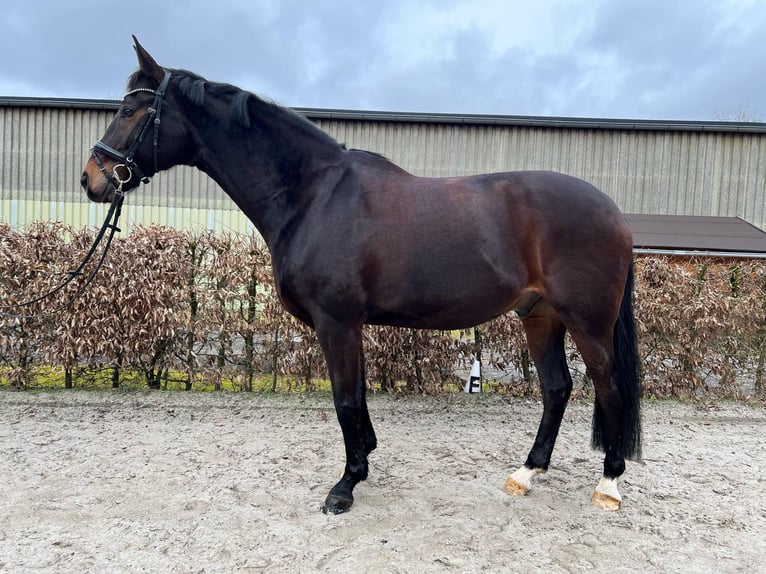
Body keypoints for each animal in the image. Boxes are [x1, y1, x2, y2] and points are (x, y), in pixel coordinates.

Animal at [81, 37, 641, 514]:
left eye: (130, 110)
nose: (92, 178)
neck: (313, 194)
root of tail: (613, 211)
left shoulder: (337, 322)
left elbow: (345, 398)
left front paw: (345, 486)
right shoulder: (350, 325)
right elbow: (359, 396)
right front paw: (365, 460)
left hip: (587, 323)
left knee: (609, 387)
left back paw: (608, 485)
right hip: (540, 317)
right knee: (557, 388)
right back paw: (526, 473)